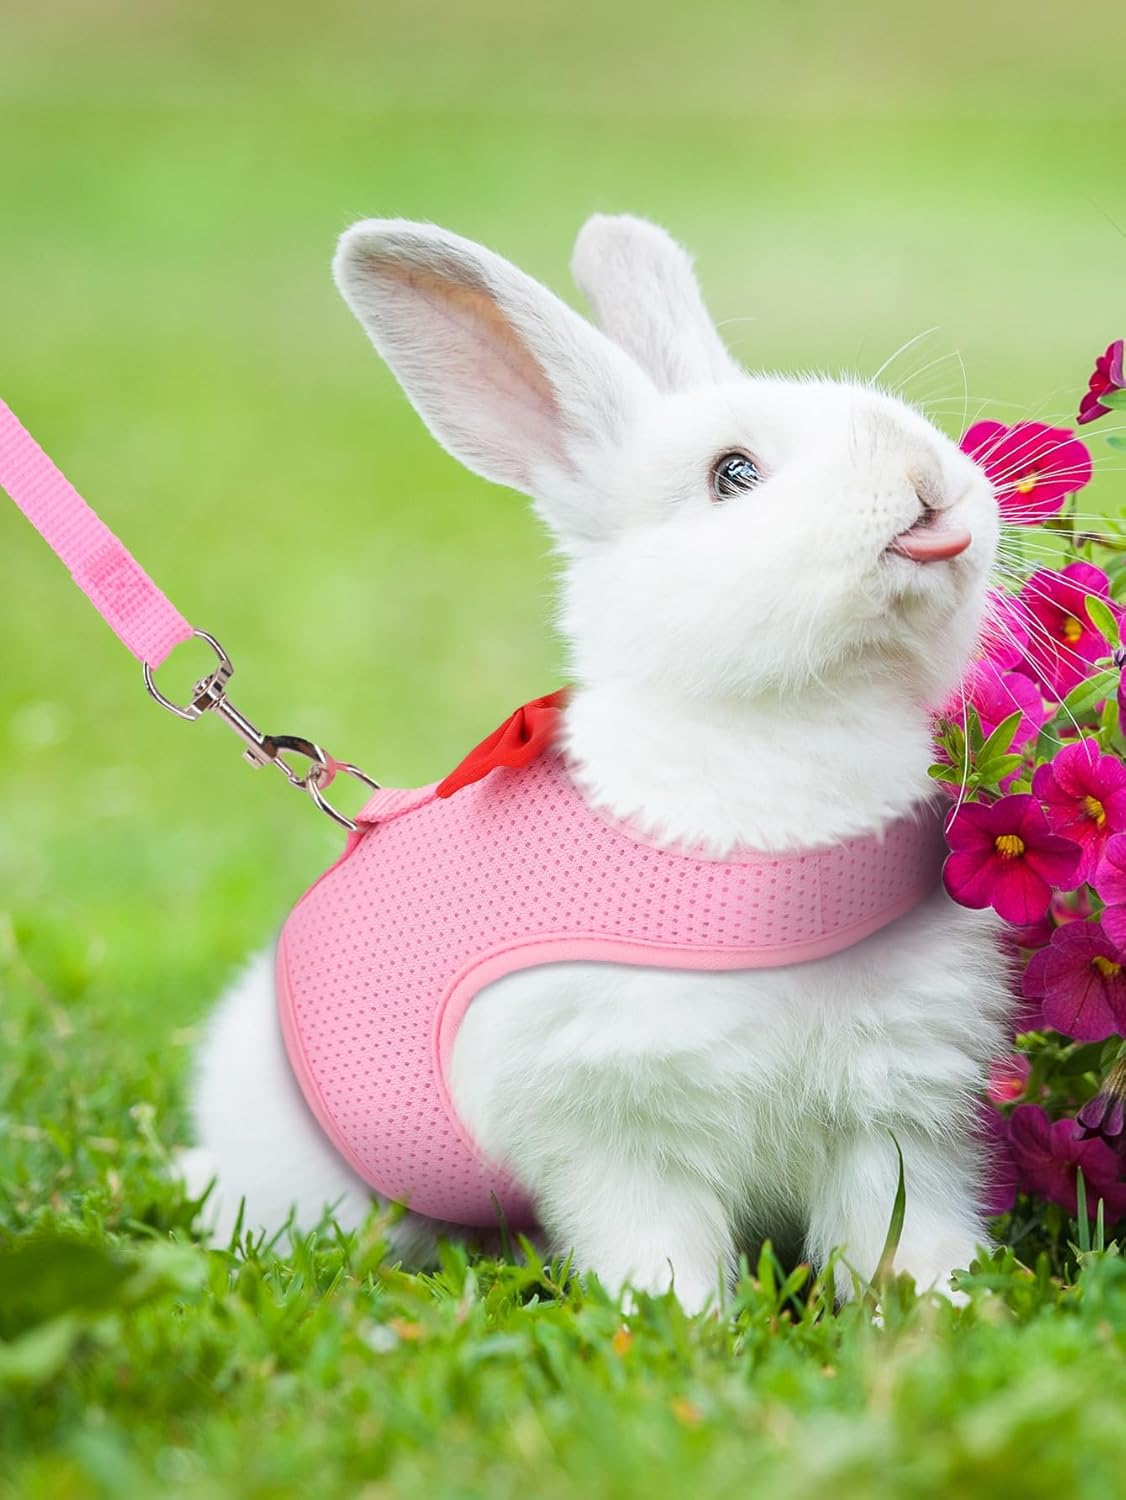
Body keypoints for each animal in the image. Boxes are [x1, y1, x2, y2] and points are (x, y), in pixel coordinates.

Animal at [180, 214, 1008, 1311]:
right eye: (733, 473)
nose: (929, 477)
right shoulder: (612, 1121)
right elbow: (653, 1238)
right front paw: (683, 1323)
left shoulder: (896, 1105)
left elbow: (898, 1230)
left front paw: (943, 1306)